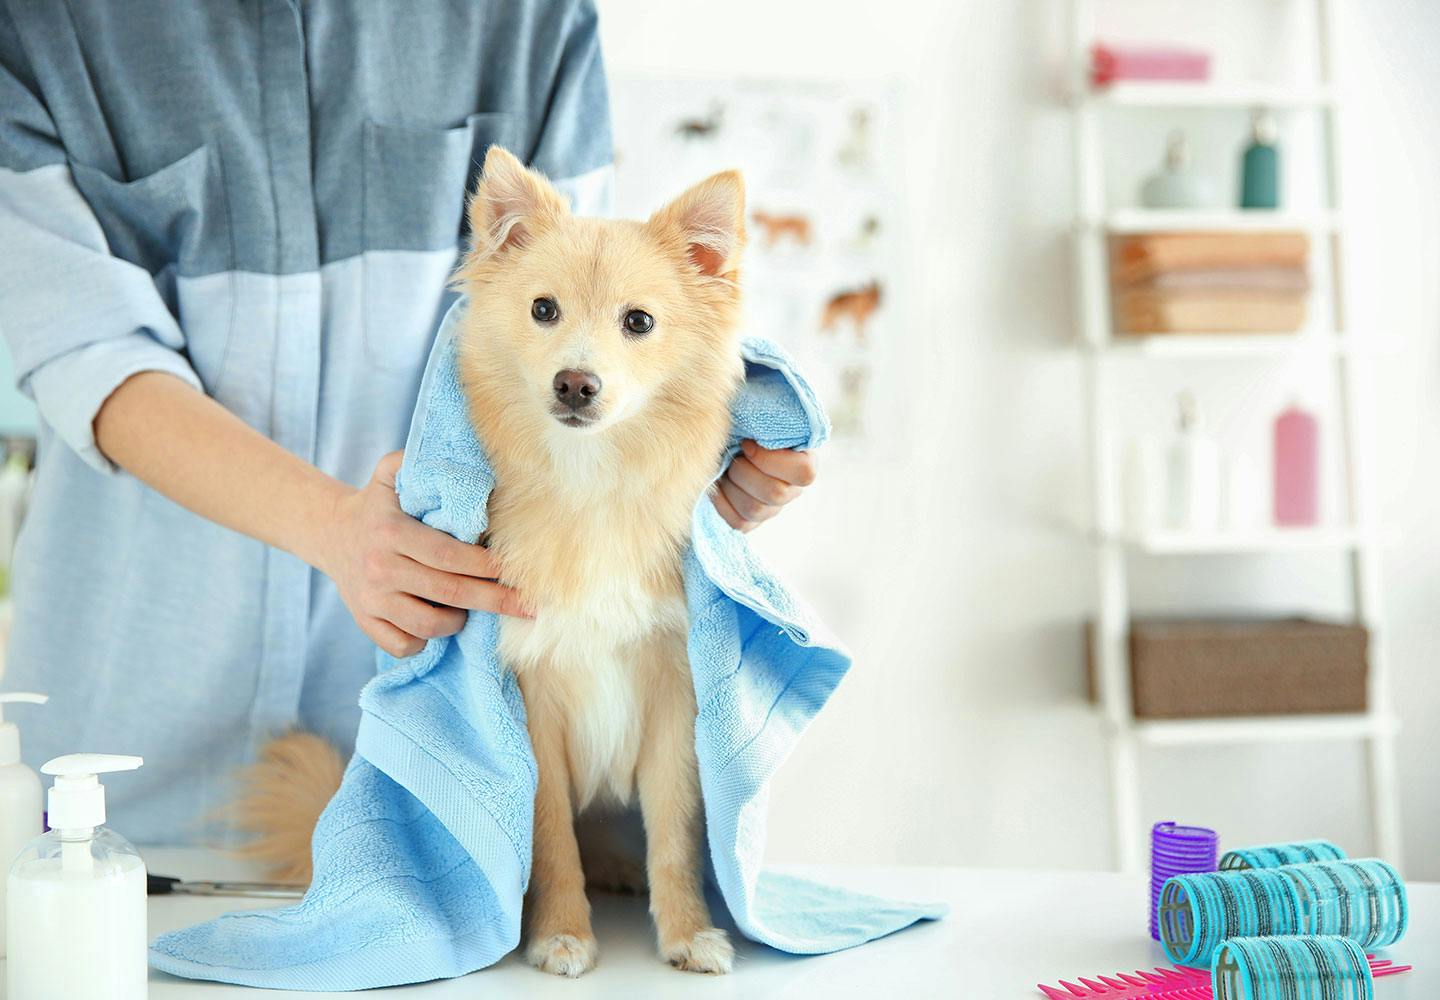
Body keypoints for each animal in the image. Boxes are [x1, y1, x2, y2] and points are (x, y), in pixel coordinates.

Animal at [230, 146, 748, 979]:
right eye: (543, 310)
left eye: (638, 322)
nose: (576, 382)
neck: (587, 483)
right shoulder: (527, 701)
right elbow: (550, 837)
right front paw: (561, 931)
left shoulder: (673, 694)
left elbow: (673, 832)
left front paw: (686, 930)